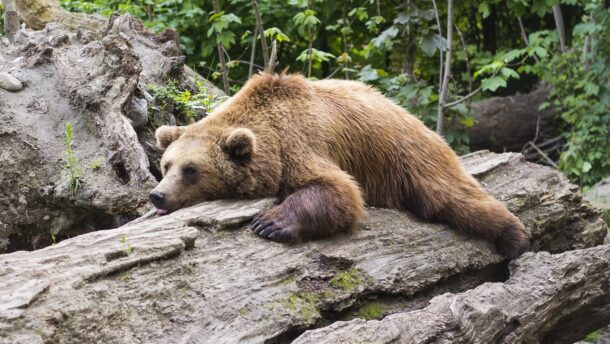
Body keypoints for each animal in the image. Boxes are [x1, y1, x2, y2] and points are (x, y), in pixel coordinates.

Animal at [148, 72, 528, 258]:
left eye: (191, 169)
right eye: (166, 165)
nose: (157, 196)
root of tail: (408, 114)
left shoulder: (300, 142)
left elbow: (338, 190)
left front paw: (269, 223)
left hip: (408, 156)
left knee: (451, 196)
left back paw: (514, 236)